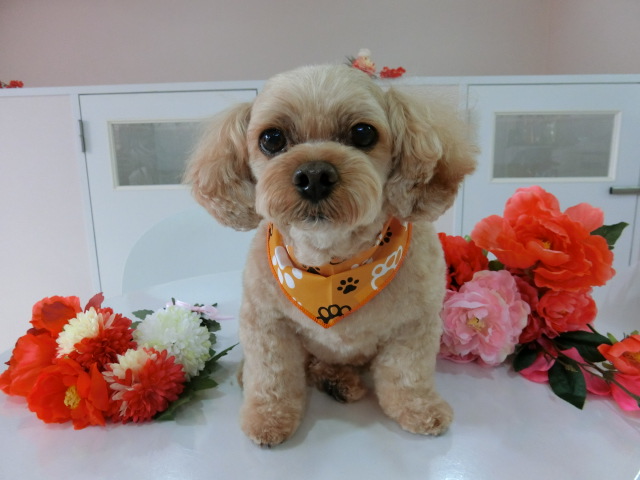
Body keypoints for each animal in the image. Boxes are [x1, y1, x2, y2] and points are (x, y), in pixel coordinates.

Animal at [186, 64, 477, 446]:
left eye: (363, 133)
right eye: (272, 138)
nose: (314, 175)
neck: (331, 262)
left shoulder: (415, 324)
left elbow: (407, 373)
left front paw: (419, 408)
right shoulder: (266, 323)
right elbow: (272, 376)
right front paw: (267, 417)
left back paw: (338, 380)